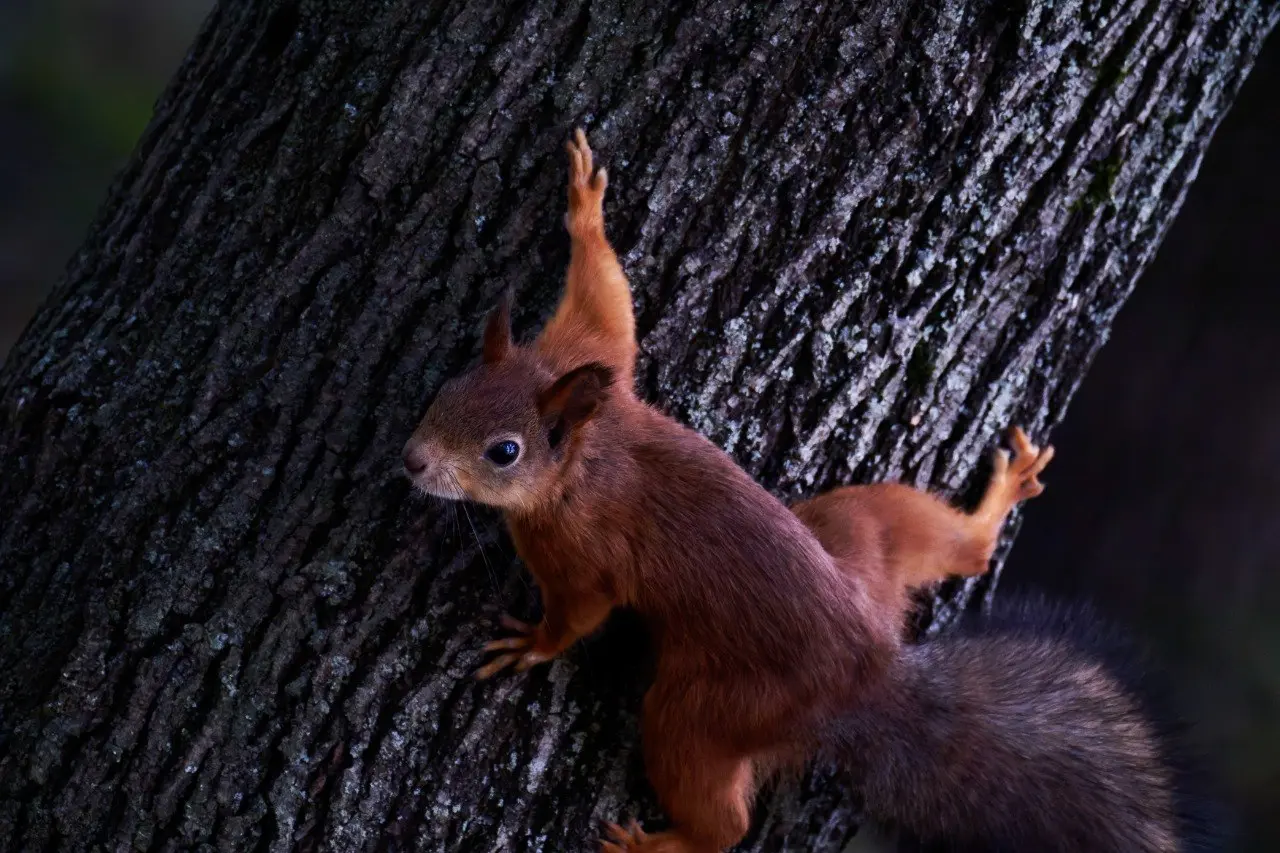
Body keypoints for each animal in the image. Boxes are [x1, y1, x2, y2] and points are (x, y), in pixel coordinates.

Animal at [402, 130, 1213, 852]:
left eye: (504, 452)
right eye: (445, 390)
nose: (411, 462)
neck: (584, 457)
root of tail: (868, 680)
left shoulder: (581, 551)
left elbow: (579, 613)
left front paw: (531, 642)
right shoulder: (585, 354)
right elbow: (608, 306)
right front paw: (586, 207)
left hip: (709, 704)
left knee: (719, 808)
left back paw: (664, 844)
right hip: (859, 532)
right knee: (952, 546)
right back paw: (994, 508)